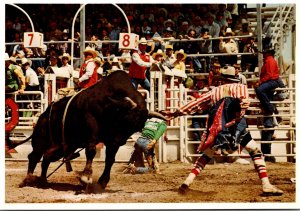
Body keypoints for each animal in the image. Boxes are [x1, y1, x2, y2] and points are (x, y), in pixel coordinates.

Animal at [19, 70, 166, 191]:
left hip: (61, 147)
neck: (110, 106)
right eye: (125, 119)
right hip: (41, 140)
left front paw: (102, 182)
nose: (120, 141)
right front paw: (86, 177)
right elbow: (91, 151)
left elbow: (110, 159)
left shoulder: (112, 142)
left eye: (136, 127)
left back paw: (43, 180)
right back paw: (28, 178)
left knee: (47, 158)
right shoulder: (92, 131)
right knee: (34, 156)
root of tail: (42, 116)